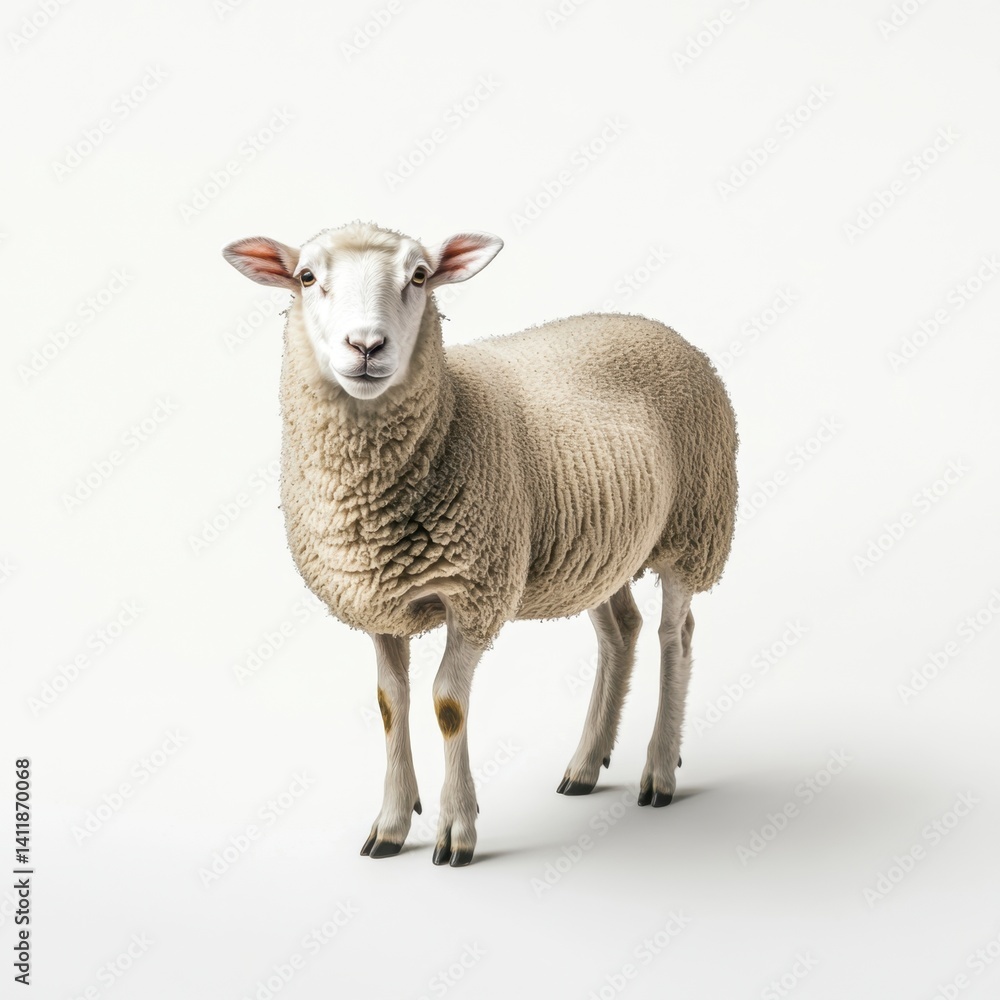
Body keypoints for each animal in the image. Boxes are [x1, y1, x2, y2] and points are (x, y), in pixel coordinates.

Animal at [221, 221, 738, 867]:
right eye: (307, 277)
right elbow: (390, 702)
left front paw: (456, 830)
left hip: (693, 528)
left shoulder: (476, 592)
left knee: (677, 636)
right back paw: (585, 766)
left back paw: (661, 770)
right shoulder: (378, 600)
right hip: (598, 548)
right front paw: (391, 823)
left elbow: (447, 703)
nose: (366, 346)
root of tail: (653, 325)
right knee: (622, 631)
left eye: (420, 276)